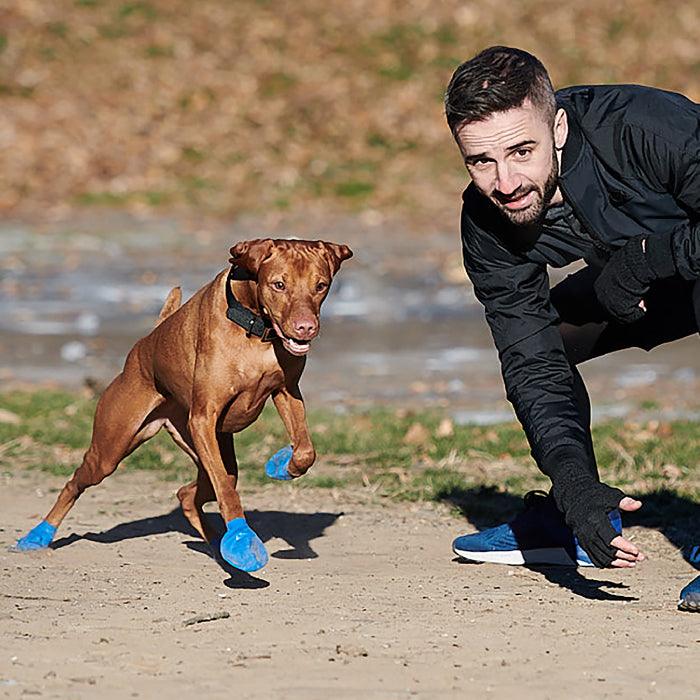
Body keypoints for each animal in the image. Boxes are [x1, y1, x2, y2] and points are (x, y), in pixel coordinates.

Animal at [15, 238, 356, 572]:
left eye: (321, 285)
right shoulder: (204, 418)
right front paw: (243, 541)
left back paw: (217, 545)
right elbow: (227, 494)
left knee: (190, 493)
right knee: (76, 482)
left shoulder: (286, 391)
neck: (255, 327)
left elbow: (305, 451)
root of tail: (145, 342)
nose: (306, 327)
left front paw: (282, 464)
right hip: (113, 448)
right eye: (279, 284)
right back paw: (38, 535)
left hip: (207, 448)